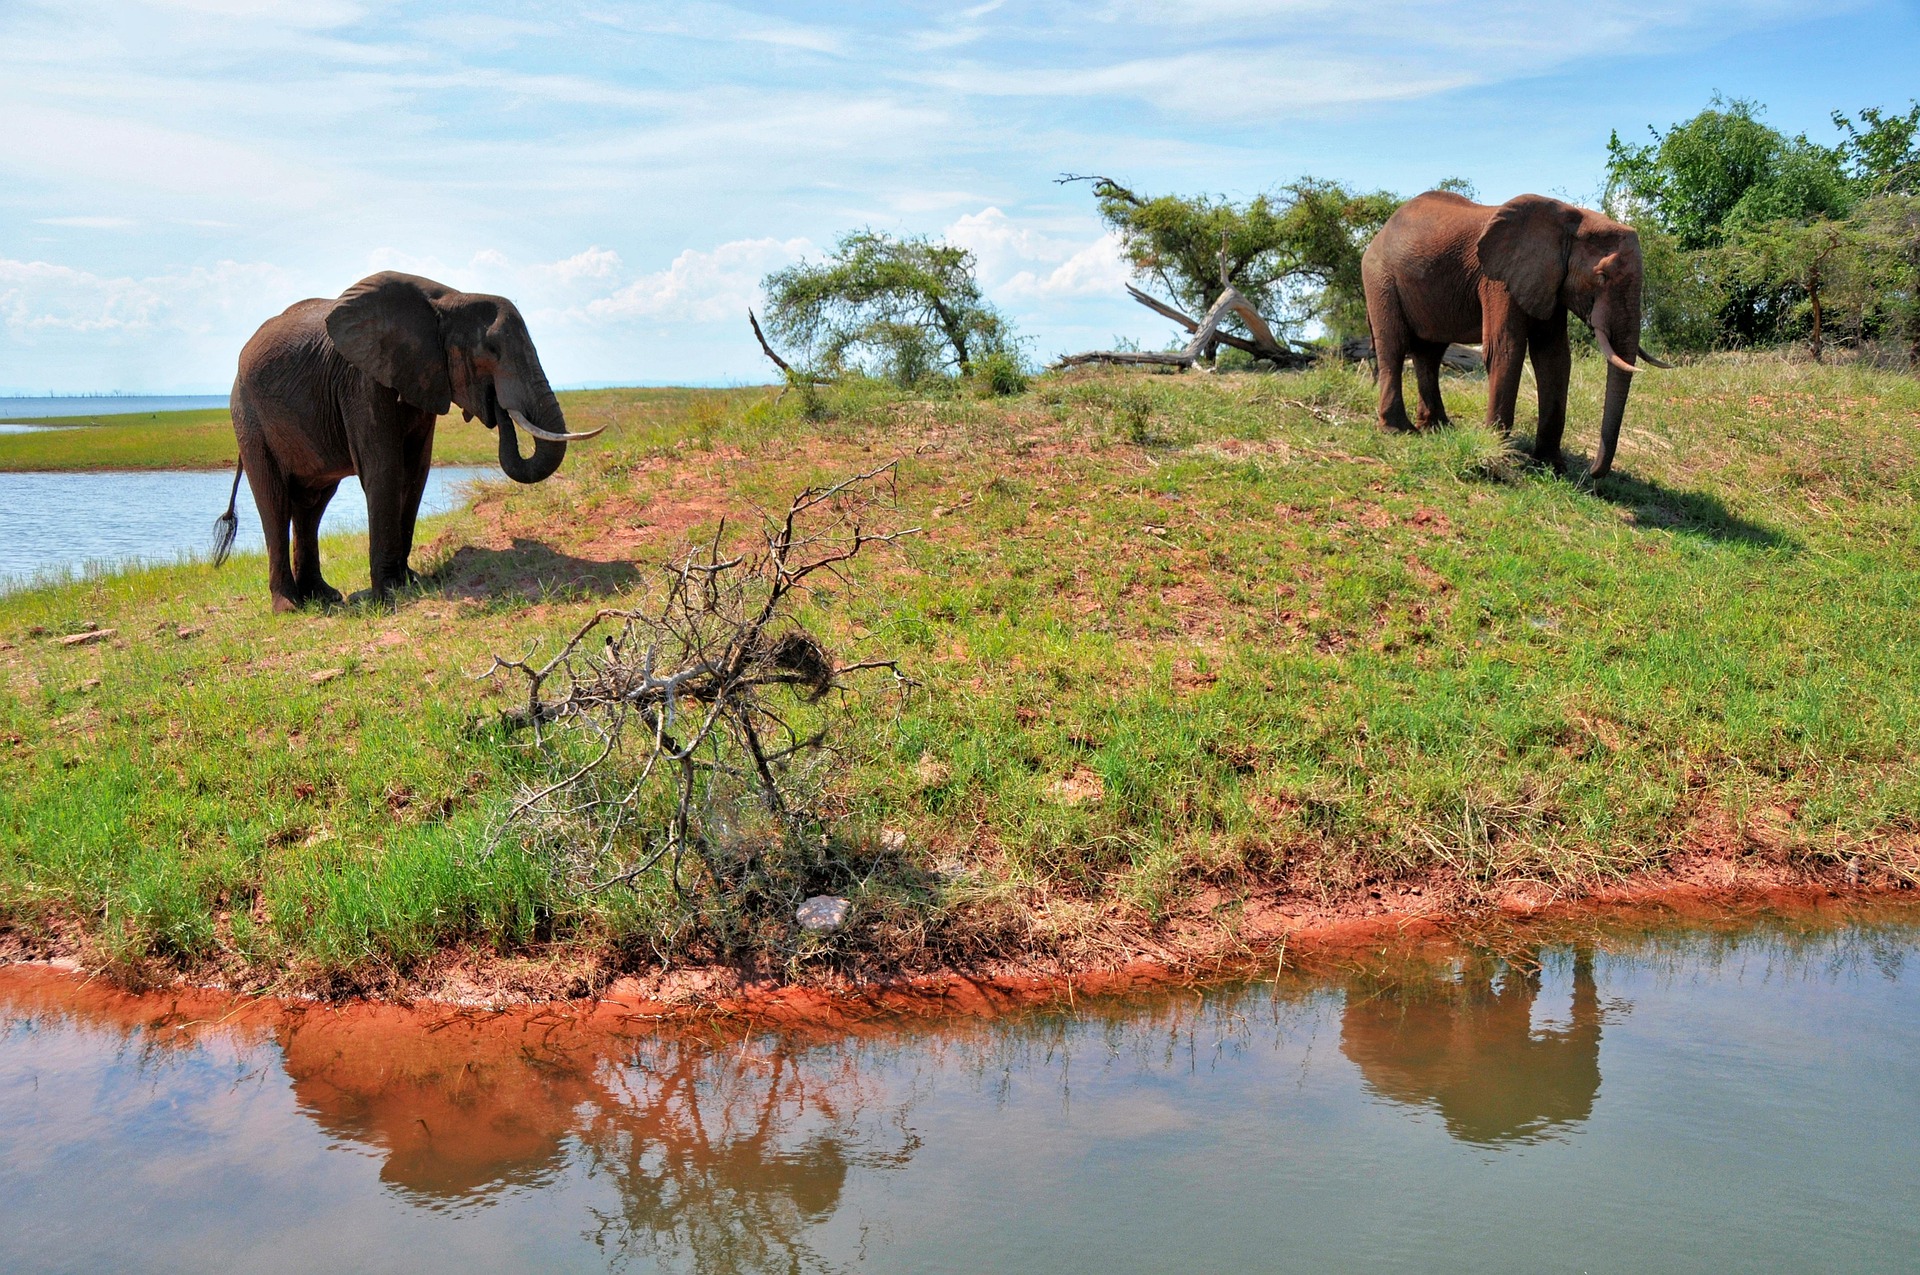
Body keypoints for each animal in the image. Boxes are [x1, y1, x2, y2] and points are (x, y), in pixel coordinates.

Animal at [212, 270, 599, 614]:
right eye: (491, 350)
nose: (499, 408)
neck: (449, 299)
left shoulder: (422, 377)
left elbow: (416, 471)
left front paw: (410, 582)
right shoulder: (361, 380)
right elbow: (385, 468)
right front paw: (388, 595)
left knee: (312, 504)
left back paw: (324, 597)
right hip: (248, 418)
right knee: (275, 501)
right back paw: (289, 607)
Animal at [1359, 192, 1674, 480]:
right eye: (1602, 277)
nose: (1590, 473)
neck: (1571, 220)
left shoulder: (1549, 281)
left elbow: (1554, 357)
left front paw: (1552, 467)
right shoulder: (1499, 279)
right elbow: (1505, 349)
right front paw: (1499, 454)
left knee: (1429, 353)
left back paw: (1438, 428)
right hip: (1380, 278)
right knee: (1394, 347)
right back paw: (1400, 431)